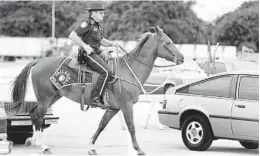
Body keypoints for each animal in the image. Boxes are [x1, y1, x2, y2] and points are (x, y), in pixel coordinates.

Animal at [10, 25, 184, 155]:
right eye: (168, 42)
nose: (181, 58)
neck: (128, 70)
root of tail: (38, 61)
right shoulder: (126, 105)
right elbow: (131, 126)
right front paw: (138, 149)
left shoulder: (113, 108)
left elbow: (101, 126)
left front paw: (91, 147)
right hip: (45, 98)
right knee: (39, 116)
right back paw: (43, 146)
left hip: (53, 96)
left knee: (33, 113)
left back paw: (33, 141)